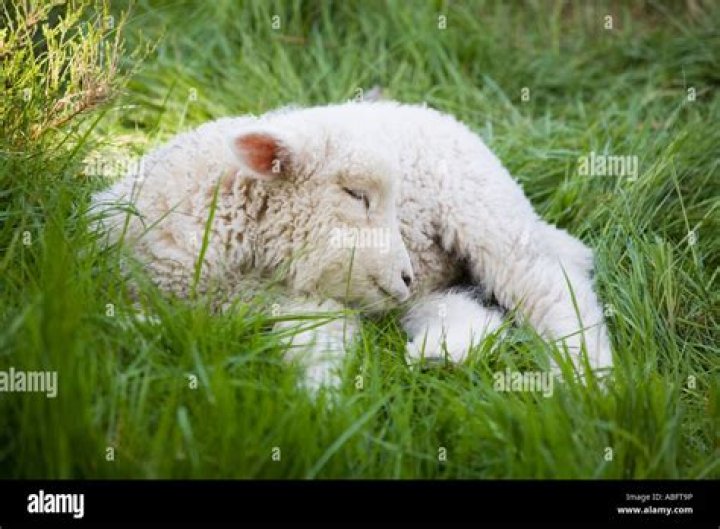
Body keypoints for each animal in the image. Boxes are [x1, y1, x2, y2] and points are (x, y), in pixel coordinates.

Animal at [93, 101, 612, 390]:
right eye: (357, 194)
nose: (404, 273)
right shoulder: (288, 300)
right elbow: (322, 337)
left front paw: (319, 407)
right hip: (420, 288)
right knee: (472, 314)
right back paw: (439, 355)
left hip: (483, 208)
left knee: (551, 289)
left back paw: (591, 380)